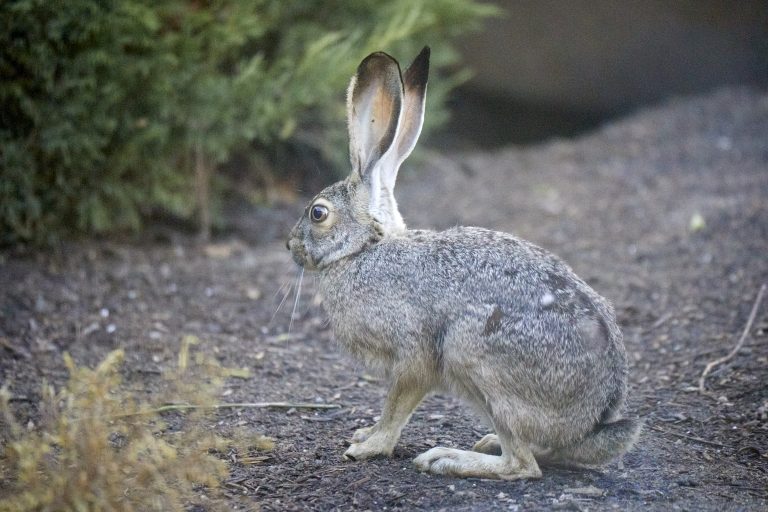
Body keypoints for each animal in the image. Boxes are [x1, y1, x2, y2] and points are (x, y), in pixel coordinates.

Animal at [286, 46, 641, 480]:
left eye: (318, 213)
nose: (290, 245)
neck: (365, 249)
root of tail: (592, 421)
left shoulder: (414, 356)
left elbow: (397, 406)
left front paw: (369, 447)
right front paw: (364, 433)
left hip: (472, 354)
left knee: (522, 465)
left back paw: (447, 458)